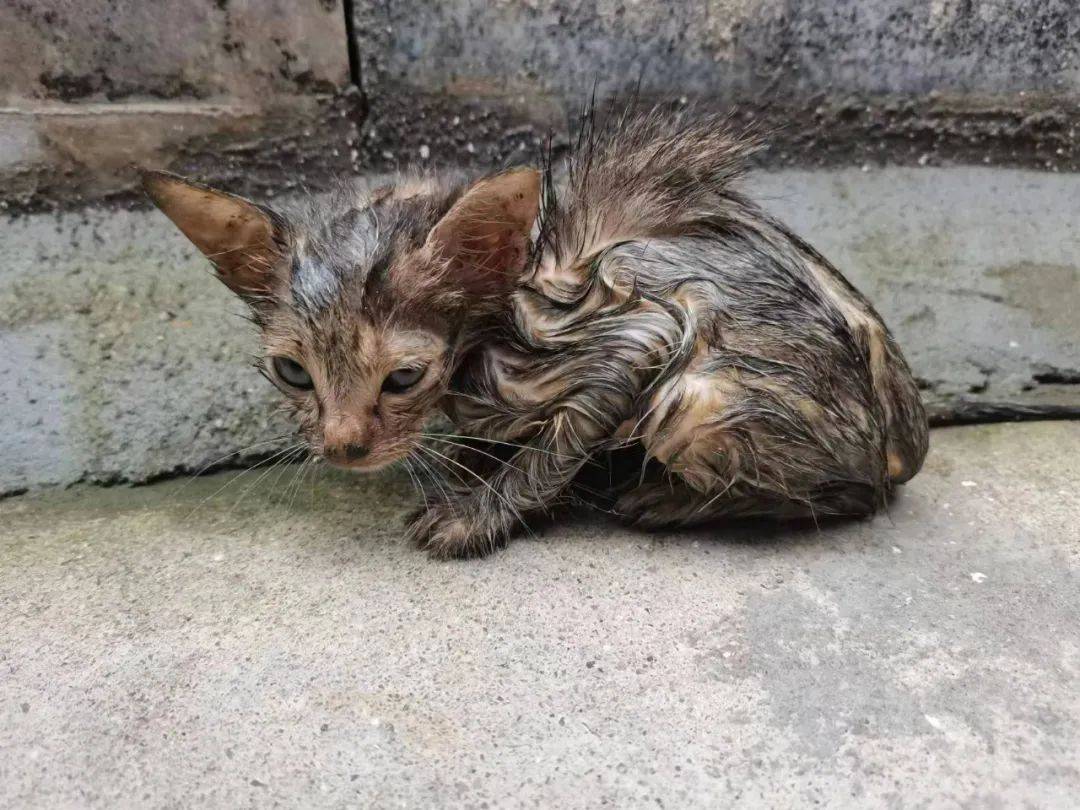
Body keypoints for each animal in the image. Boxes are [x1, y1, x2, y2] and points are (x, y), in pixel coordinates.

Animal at [145, 109, 928, 557]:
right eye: (293, 373)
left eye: (403, 378)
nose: (343, 448)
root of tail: (904, 439)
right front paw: (470, 458)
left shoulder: (628, 336)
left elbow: (552, 453)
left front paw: (473, 516)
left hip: (702, 406)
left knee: (857, 495)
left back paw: (669, 499)